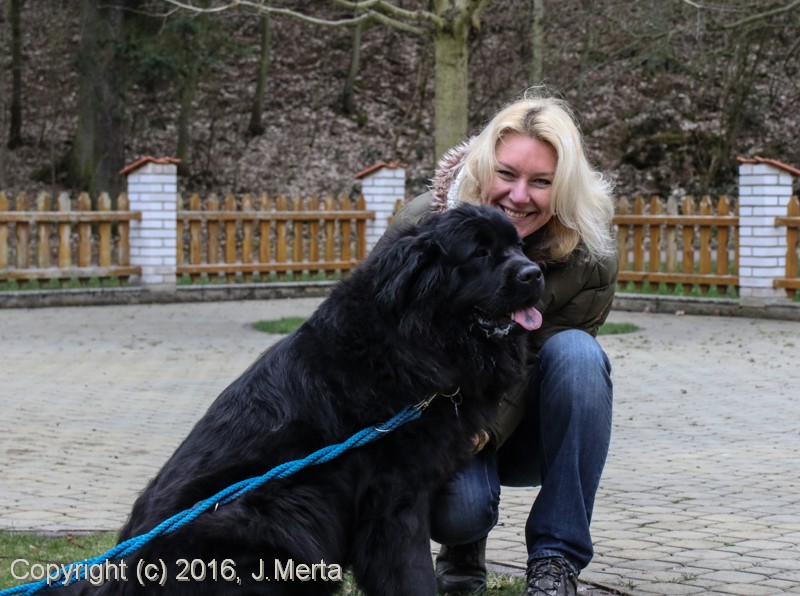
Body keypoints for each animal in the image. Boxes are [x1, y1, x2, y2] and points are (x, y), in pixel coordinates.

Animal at [62, 204, 544, 595]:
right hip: (275, 510)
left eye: (518, 246)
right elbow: (410, 575)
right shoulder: (395, 498)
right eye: (479, 253)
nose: (533, 273)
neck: (419, 341)